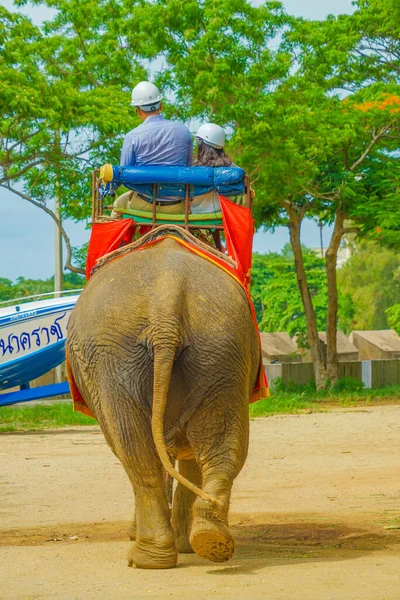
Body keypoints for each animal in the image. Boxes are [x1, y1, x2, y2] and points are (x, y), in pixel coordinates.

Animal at [66, 232, 260, 568]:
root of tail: (166, 297)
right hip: (221, 347)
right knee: (221, 447)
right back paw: (209, 539)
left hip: (112, 359)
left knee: (135, 452)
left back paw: (147, 557)